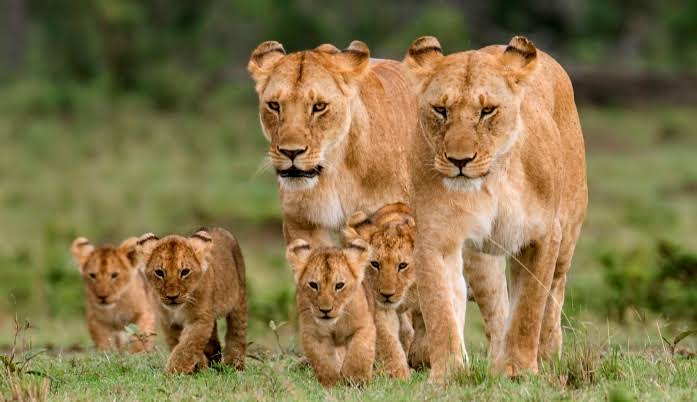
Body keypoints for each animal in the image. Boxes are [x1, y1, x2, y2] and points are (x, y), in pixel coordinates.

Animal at [135, 228, 247, 374]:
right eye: (159, 272)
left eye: (185, 272)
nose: (172, 296)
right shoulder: (170, 322)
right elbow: (181, 345)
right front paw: (199, 367)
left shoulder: (199, 319)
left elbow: (187, 346)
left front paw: (173, 372)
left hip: (239, 299)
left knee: (237, 331)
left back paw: (234, 365)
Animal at [286, 237, 376, 387]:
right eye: (313, 285)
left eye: (339, 285)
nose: (325, 310)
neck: (336, 323)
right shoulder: (315, 335)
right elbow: (323, 361)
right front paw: (332, 384)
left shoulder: (364, 326)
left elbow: (359, 352)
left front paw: (355, 381)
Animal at [403, 36, 588, 381]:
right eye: (440, 110)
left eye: (487, 111)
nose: (460, 160)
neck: (491, 182)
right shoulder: (435, 238)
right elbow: (440, 309)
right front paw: (449, 373)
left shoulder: (543, 237)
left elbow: (529, 308)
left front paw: (519, 369)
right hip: (481, 260)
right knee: (497, 309)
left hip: (568, 235)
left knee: (554, 292)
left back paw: (547, 352)